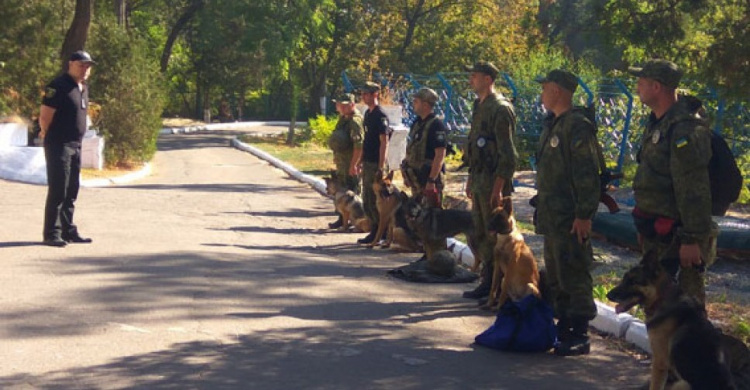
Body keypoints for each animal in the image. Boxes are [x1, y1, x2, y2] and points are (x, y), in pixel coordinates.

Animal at [608, 251, 736, 388]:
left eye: (633, 282)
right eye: (624, 279)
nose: (608, 295)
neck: (661, 298)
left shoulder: (659, 363)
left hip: (683, 383)